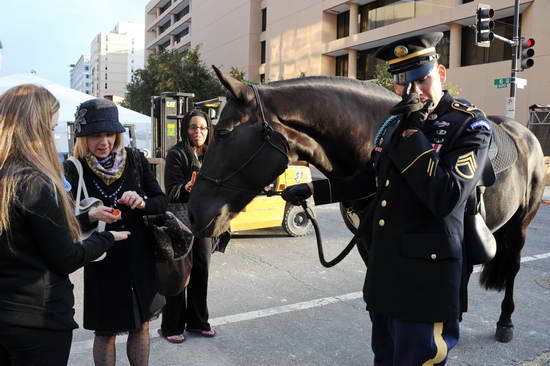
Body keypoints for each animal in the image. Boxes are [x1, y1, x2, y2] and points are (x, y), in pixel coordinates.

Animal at [189, 67, 548, 344]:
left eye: (223, 132)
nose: (193, 212)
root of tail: (524, 133)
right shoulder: (368, 244)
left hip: (521, 226)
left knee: (512, 268)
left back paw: (504, 322)